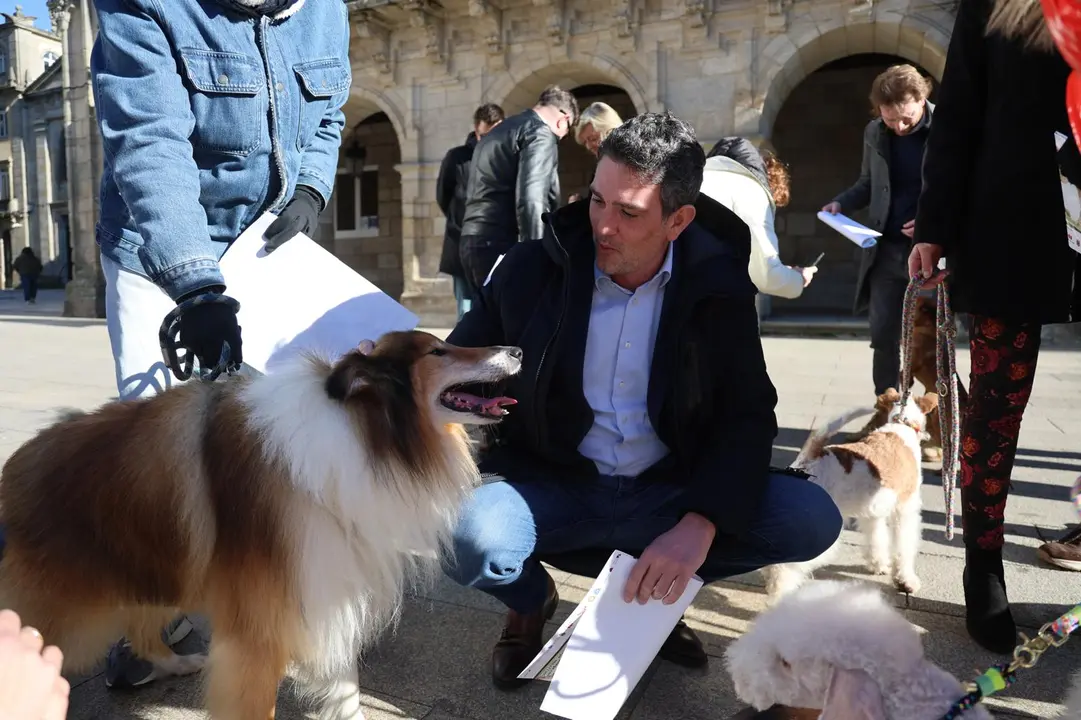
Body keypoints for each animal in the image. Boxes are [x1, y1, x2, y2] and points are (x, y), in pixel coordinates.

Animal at [0, 328, 523, 717]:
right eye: (438, 351)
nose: (517, 349)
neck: (365, 433)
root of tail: (13, 471)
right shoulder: (262, 627)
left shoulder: (325, 588)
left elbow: (345, 685)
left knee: (145, 629)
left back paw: (179, 663)